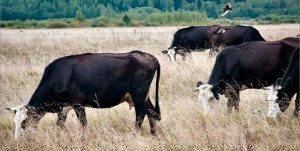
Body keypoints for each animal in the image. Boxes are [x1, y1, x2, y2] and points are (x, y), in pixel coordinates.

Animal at [6, 50, 162, 139]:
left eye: (24, 122)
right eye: (14, 122)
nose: (18, 140)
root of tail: (149, 57)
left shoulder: (77, 103)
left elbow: (83, 123)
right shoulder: (64, 107)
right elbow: (60, 124)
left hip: (138, 94)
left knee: (141, 114)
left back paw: (135, 134)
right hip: (142, 96)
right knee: (151, 112)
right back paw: (153, 135)